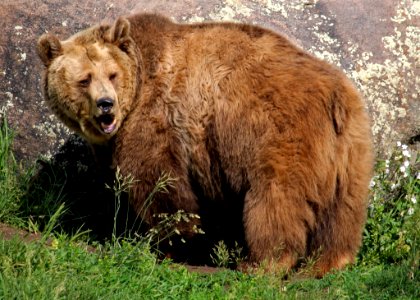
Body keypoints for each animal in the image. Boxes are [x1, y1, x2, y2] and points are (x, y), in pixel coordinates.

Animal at [37, 13, 374, 276]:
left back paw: (262, 263)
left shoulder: (159, 120)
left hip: (278, 135)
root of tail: (335, 96)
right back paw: (329, 262)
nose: (106, 105)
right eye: (84, 79)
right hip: (352, 149)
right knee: (343, 209)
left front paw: (174, 245)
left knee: (275, 199)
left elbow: (160, 186)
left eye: (112, 74)